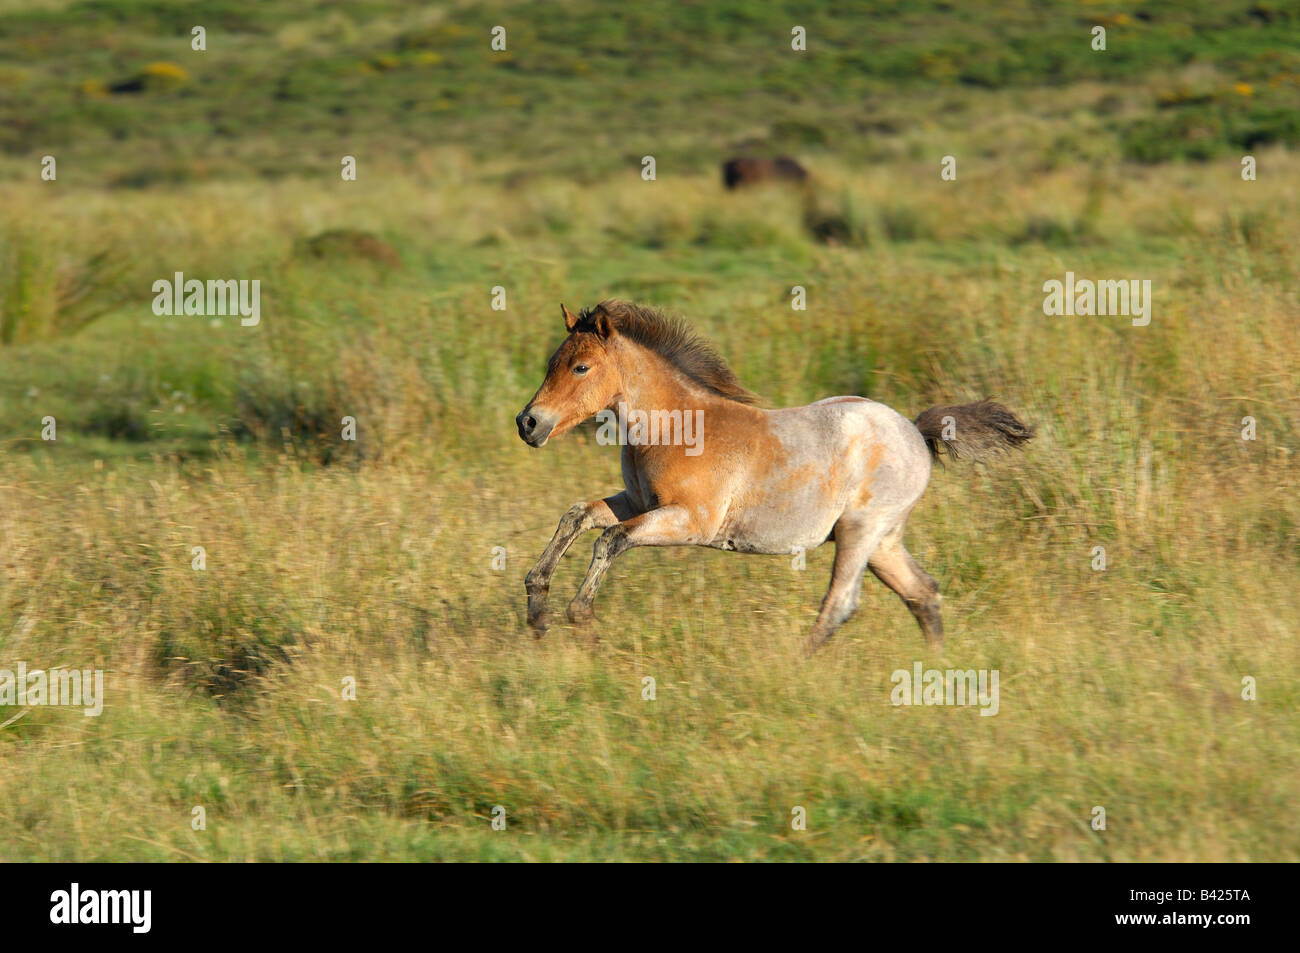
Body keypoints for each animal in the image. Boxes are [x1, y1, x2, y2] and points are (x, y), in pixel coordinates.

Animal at [515, 300, 1034, 654]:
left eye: (581, 367)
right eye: (552, 362)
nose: (528, 423)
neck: (677, 426)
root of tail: (914, 429)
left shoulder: (690, 521)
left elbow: (611, 540)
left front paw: (581, 619)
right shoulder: (640, 502)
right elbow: (578, 515)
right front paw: (538, 608)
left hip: (860, 532)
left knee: (842, 603)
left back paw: (797, 667)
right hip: (884, 541)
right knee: (922, 592)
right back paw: (936, 664)